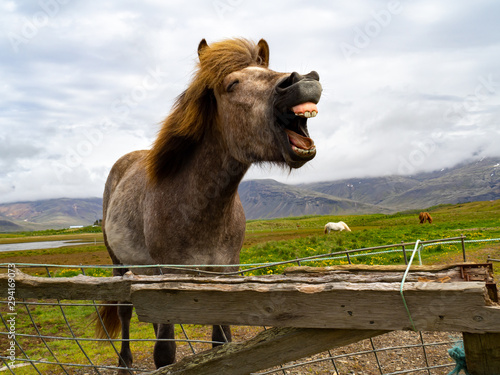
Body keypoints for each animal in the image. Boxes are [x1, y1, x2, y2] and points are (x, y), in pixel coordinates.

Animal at [95, 38, 322, 374]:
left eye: (267, 70)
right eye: (232, 84)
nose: (303, 81)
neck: (199, 209)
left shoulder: (225, 272)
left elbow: (222, 342)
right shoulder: (172, 275)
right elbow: (165, 352)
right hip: (119, 264)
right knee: (124, 312)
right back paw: (124, 363)